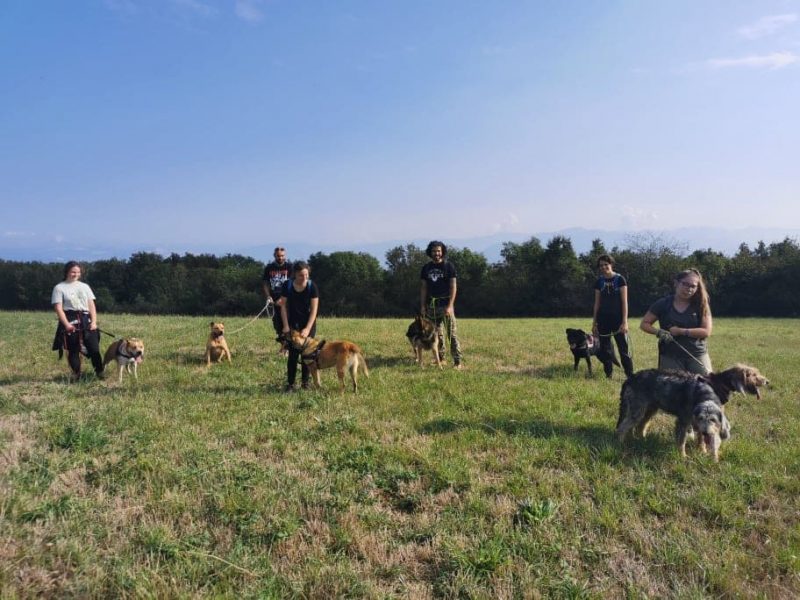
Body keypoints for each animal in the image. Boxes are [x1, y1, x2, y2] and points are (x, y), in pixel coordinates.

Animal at [616, 366, 764, 460]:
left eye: (713, 420)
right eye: (753, 374)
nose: (766, 381)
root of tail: (631, 378)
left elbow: (701, 439)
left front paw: (703, 452)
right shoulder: (684, 421)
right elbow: (682, 441)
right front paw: (683, 456)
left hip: (650, 409)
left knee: (640, 426)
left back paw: (641, 439)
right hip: (637, 410)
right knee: (623, 427)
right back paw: (620, 444)